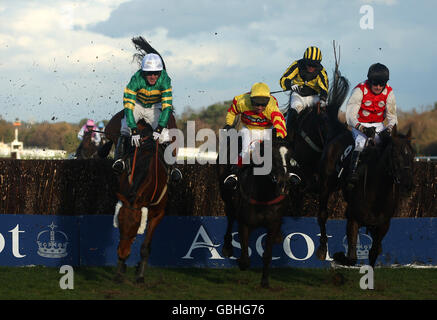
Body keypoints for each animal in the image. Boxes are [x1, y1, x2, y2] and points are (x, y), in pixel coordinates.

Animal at [112, 122, 169, 282]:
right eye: (119, 222)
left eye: (137, 225)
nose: (122, 253)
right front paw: (120, 270)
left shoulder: (158, 214)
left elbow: (145, 247)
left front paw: (140, 275)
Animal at [218, 135, 292, 288]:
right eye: (272, 156)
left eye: (289, 157)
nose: (283, 185)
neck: (264, 195)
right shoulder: (244, 223)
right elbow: (245, 259)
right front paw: (240, 261)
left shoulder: (273, 224)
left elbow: (267, 254)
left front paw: (264, 281)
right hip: (226, 197)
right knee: (230, 218)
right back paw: (227, 247)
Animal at [318, 126, 414, 266]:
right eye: (395, 154)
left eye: (412, 155)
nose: (408, 185)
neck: (377, 194)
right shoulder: (353, 219)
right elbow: (352, 258)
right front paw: (338, 256)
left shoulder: (383, 224)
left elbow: (373, 253)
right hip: (326, 185)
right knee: (322, 214)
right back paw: (322, 249)